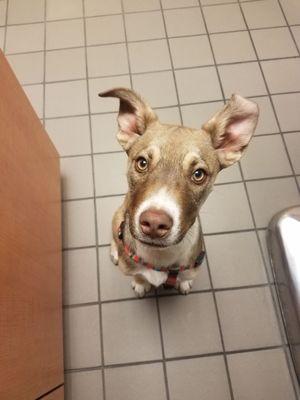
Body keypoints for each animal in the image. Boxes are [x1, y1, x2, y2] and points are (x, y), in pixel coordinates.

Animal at [98, 87, 258, 296]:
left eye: (198, 174)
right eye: (142, 163)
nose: (154, 223)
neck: (159, 259)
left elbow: (185, 277)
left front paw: (183, 283)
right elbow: (139, 275)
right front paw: (141, 283)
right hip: (117, 216)